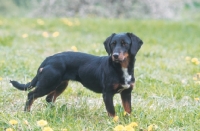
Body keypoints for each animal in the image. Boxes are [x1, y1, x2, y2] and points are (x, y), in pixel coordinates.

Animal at [10, 32, 143, 116]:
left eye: (125, 43)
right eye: (112, 44)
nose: (115, 55)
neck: (120, 68)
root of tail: (48, 59)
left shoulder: (126, 92)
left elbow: (128, 109)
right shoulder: (107, 94)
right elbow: (112, 112)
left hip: (61, 85)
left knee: (49, 98)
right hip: (48, 83)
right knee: (31, 95)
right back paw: (27, 113)